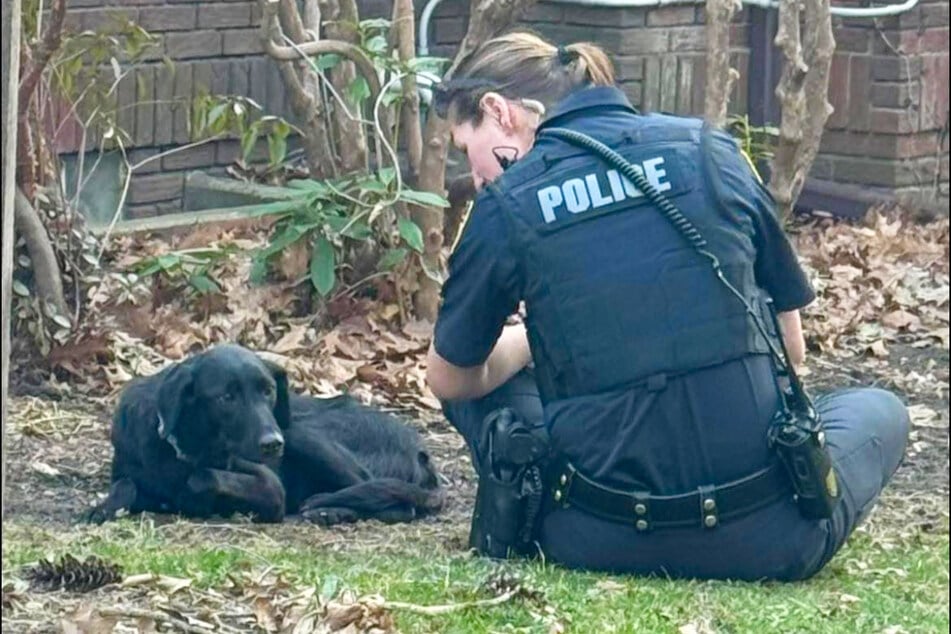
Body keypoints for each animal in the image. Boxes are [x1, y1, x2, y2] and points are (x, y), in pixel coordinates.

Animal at [87, 344, 444, 524]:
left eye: (269, 391)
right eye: (226, 397)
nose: (272, 445)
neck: (183, 447)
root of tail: (419, 449)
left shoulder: (271, 490)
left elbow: (202, 477)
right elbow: (125, 485)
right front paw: (103, 508)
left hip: (301, 434)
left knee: (389, 498)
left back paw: (329, 510)